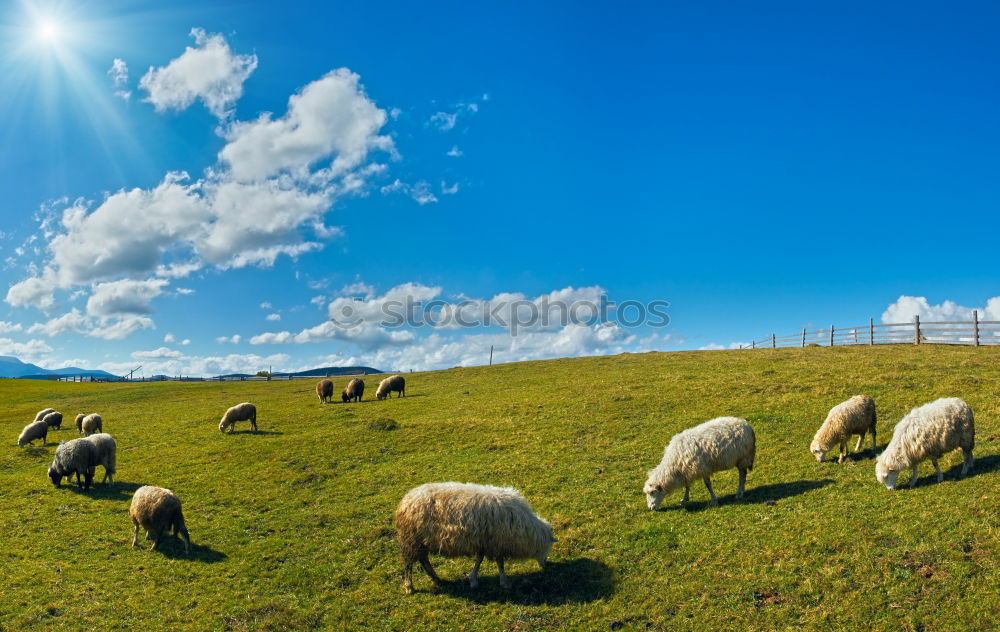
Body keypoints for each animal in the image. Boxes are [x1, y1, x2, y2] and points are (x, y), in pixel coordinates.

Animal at [396, 484, 556, 592]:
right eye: (548, 547)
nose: (546, 565)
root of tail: (406, 500)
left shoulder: (484, 542)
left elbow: (479, 560)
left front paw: (473, 580)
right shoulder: (496, 543)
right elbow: (500, 563)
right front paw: (504, 582)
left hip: (421, 542)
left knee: (424, 560)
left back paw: (436, 579)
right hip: (411, 539)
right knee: (409, 563)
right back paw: (409, 586)